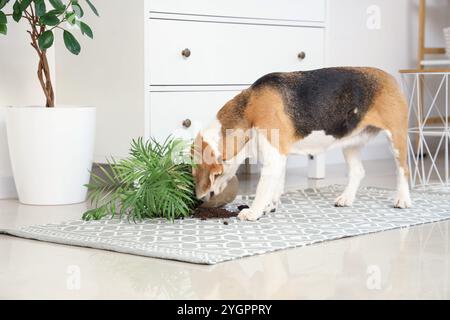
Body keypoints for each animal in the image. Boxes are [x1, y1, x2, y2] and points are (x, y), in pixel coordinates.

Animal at [192, 67, 412, 222]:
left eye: (193, 172)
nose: (198, 200)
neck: (248, 108)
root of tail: (389, 77)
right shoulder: (278, 159)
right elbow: (274, 187)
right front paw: (269, 207)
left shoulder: (273, 159)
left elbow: (262, 188)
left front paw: (253, 212)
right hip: (351, 143)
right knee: (358, 171)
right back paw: (346, 198)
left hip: (396, 137)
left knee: (403, 170)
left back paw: (402, 199)